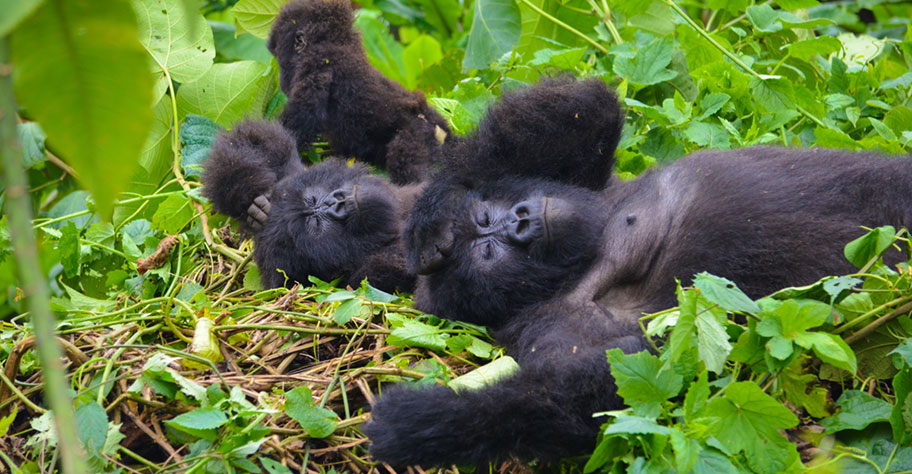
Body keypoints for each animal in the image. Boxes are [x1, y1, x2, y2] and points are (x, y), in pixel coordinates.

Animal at [266, 0, 450, 184]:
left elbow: (303, 116)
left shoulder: (316, 62)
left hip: (416, 137)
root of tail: (438, 125)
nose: (280, 79)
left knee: (407, 168)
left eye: (279, 57)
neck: (335, 42)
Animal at [366, 147, 912, 466]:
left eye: (486, 217)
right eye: (487, 251)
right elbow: (615, 389)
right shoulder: (551, 322)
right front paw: (428, 424)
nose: (519, 220)